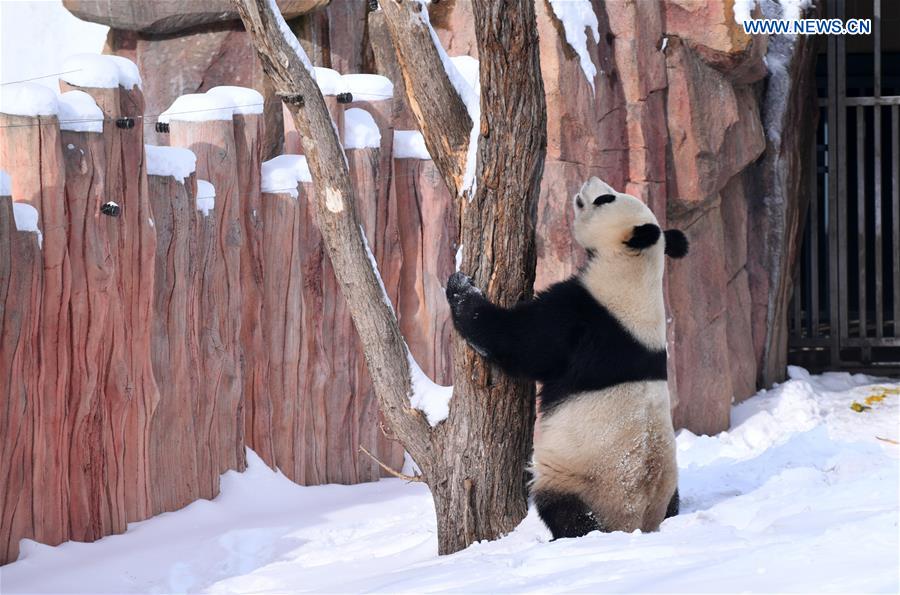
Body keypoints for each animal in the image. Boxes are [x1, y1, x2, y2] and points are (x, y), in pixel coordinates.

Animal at [445, 176, 688, 540]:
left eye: (605, 199)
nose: (590, 181)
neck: (636, 271)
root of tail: (636, 525)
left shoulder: (584, 317)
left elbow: (517, 342)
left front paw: (461, 288)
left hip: (581, 478)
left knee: (564, 509)